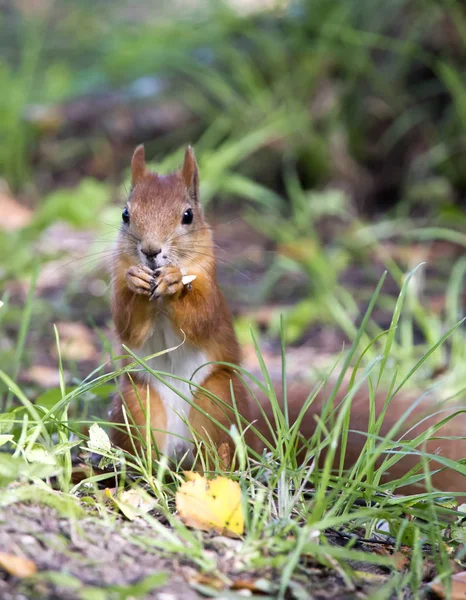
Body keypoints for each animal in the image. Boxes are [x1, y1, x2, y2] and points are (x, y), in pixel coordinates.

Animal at [109, 144, 466, 492]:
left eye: (188, 216)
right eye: (126, 214)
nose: (150, 251)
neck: (159, 301)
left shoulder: (211, 296)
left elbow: (201, 319)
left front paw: (173, 281)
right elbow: (128, 326)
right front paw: (135, 280)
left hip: (217, 403)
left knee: (217, 454)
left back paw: (211, 478)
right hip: (136, 405)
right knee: (146, 453)